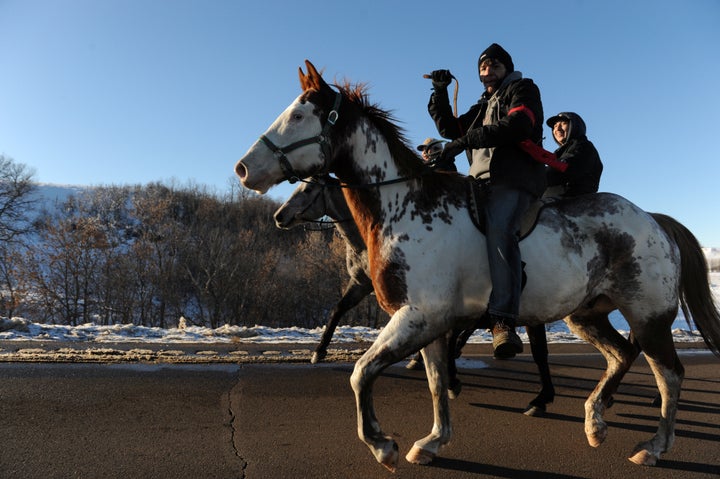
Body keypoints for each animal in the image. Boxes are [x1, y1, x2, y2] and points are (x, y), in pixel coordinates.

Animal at [238, 61, 720, 472]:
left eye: (299, 116)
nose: (243, 169)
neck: (405, 205)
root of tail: (652, 218)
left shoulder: (419, 316)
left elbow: (361, 374)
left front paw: (382, 445)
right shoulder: (430, 323)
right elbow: (434, 383)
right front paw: (432, 441)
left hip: (648, 318)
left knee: (669, 376)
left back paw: (654, 447)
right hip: (586, 315)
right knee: (621, 355)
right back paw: (594, 421)